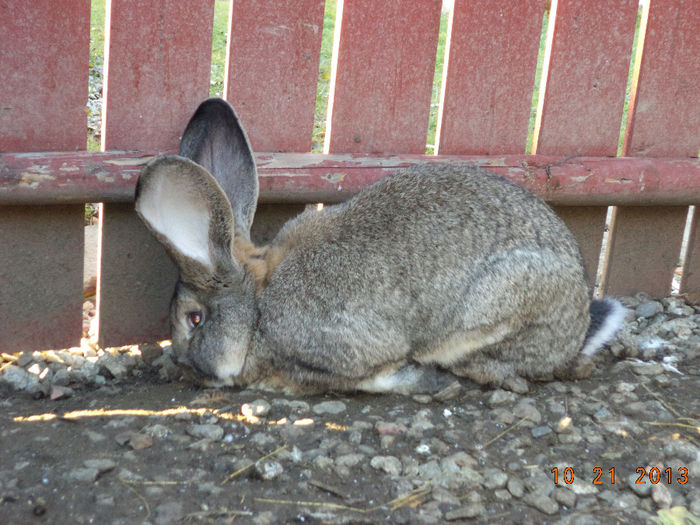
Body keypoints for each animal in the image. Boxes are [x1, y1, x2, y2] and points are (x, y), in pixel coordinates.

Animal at [134, 98, 628, 392]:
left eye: (194, 319)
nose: (186, 365)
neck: (259, 304)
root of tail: (575, 331)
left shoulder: (348, 351)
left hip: (494, 307)